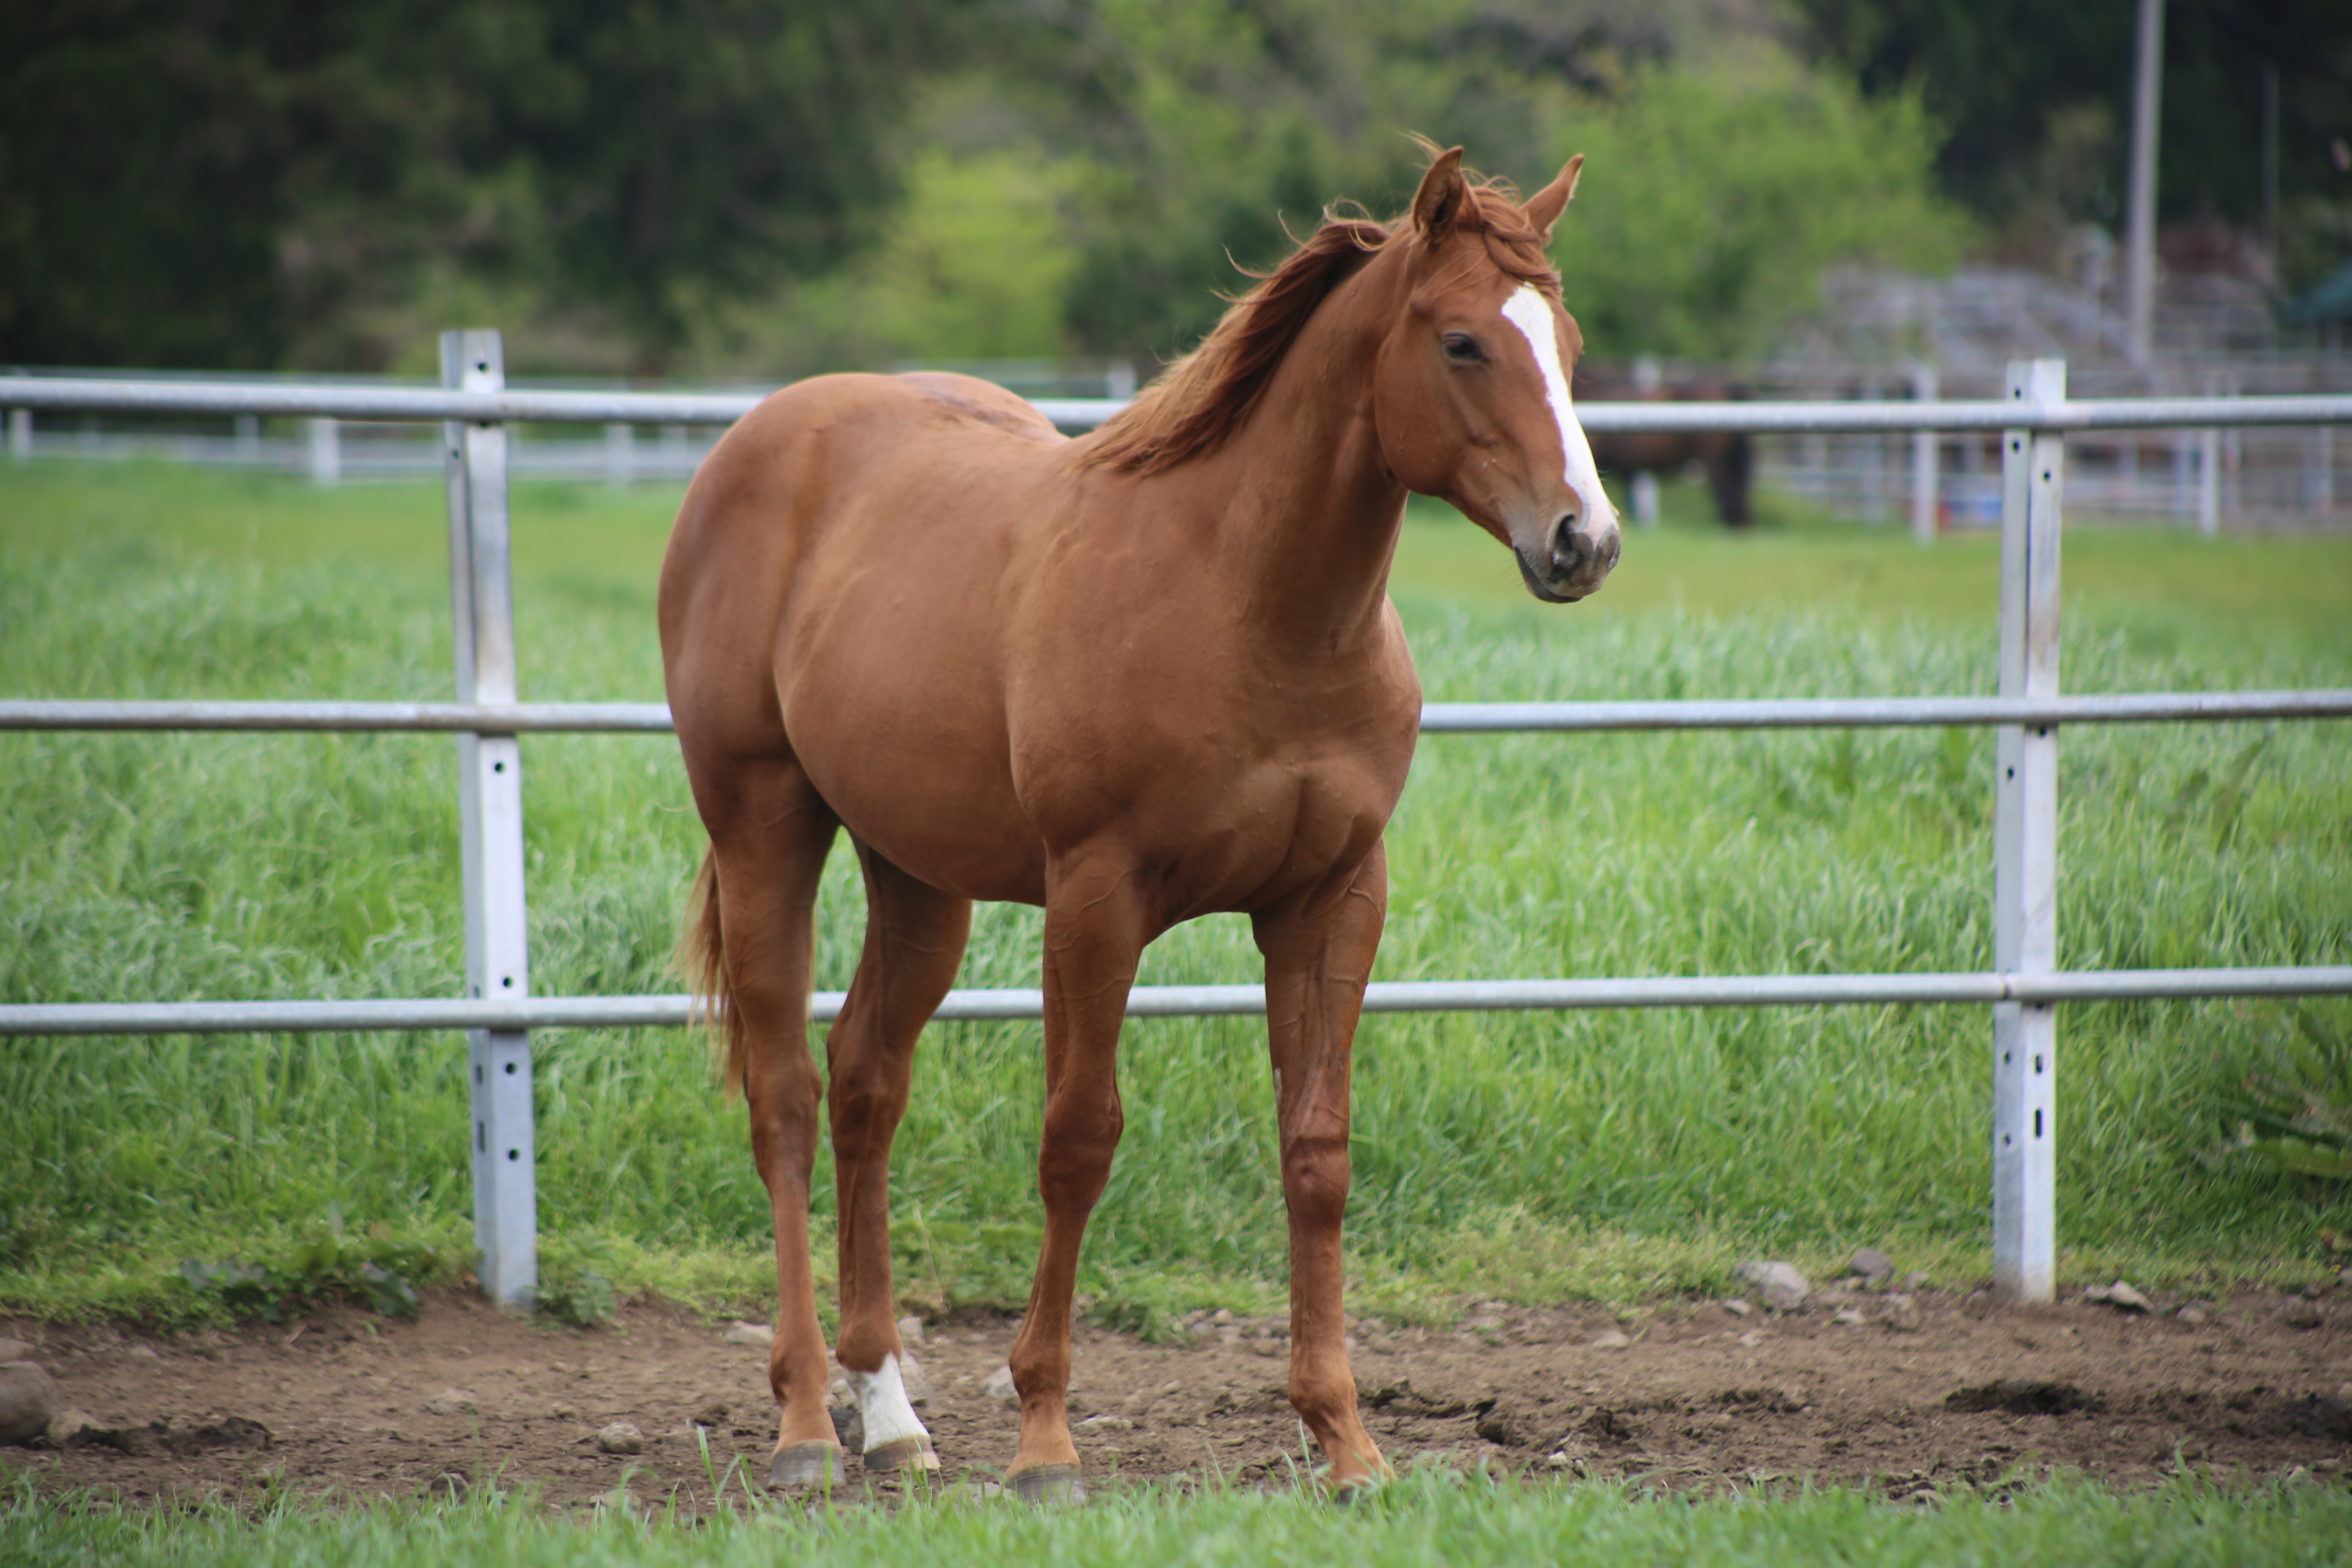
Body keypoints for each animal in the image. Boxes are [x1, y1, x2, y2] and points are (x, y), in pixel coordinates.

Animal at [658, 144, 1618, 1495]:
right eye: (1465, 343)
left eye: (1569, 343)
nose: (1584, 540)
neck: (1250, 605)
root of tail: (761, 436)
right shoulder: (1097, 898)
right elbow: (1079, 1139)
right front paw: (1046, 1440)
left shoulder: (1332, 900)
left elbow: (1317, 1153)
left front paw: (1346, 1439)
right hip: (765, 827)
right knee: (786, 1096)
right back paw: (804, 1424)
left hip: (920, 875)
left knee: (865, 1085)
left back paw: (891, 1416)